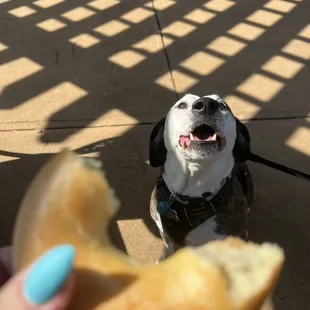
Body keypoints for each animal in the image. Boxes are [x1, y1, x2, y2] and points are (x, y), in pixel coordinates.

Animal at [149, 93, 253, 260]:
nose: (206, 104)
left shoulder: (237, 234)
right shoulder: (164, 231)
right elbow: (168, 246)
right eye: (181, 105)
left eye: (223, 106)